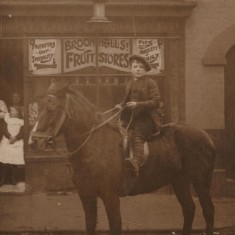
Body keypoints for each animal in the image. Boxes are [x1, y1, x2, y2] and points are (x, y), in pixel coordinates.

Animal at [29, 83, 217, 235]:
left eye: (52, 109)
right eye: (39, 108)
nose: (33, 141)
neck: (94, 144)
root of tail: (207, 136)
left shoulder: (110, 196)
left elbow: (115, 226)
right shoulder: (86, 195)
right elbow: (90, 225)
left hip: (200, 181)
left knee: (208, 210)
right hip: (179, 180)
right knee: (189, 208)